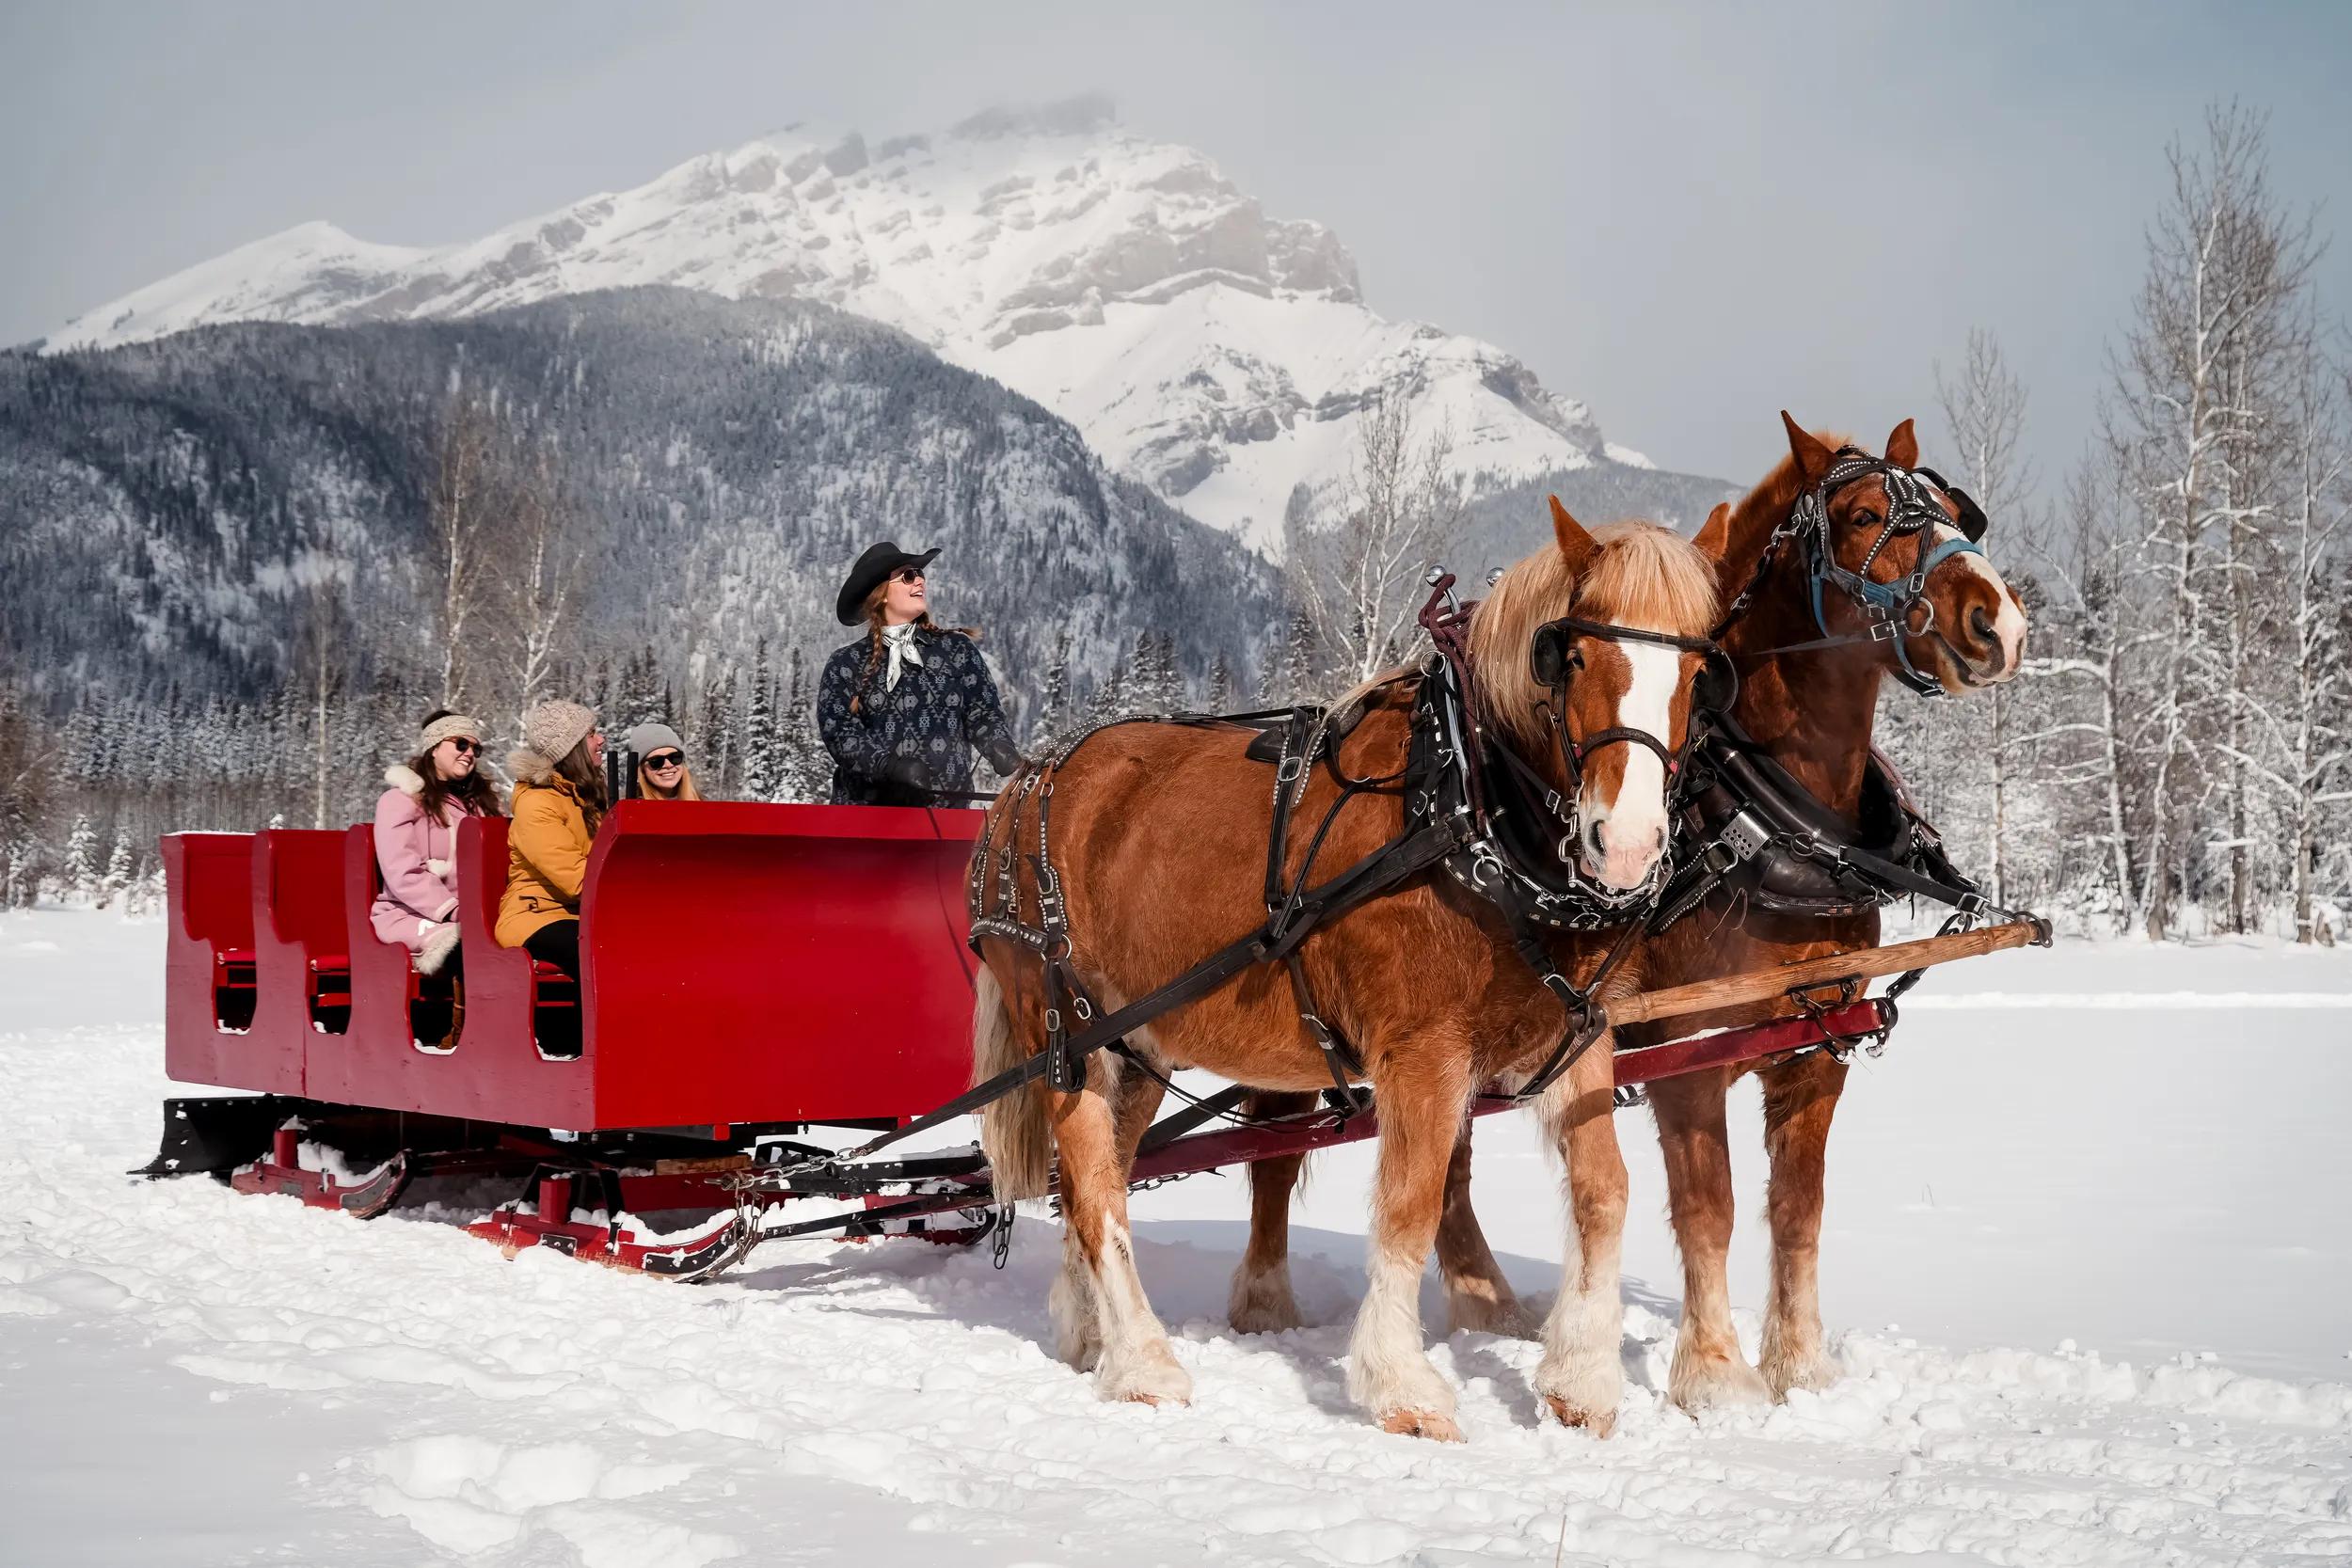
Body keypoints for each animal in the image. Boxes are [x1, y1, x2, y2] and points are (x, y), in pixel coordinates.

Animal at [970, 502, 1726, 1440]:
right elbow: (1411, 1203)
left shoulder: (1574, 1038)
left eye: (1700, 668)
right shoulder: (1422, 1053)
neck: (1470, 813)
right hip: (1062, 1028)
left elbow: (1605, 1190)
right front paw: (1403, 1386)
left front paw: (1579, 1381)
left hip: (1133, 1042)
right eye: (1571, 655)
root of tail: (1025, 780)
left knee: (1094, 1172)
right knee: (1093, 1175)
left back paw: (1090, 1333)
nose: (1623, 847)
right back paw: (1145, 1360)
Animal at [1226, 414, 2030, 1434]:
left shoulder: (1815, 1049)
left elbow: (1797, 1208)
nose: (1996, 620)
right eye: (1861, 515)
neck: (1757, 814)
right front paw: (1714, 1374)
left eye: (1961, 509)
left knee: (1446, 1163)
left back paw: (1488, 1301)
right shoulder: (1687, 1049)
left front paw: (1800, 1367)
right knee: (1278, 1149)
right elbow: (1709, 1204)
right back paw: (1267, 1300)